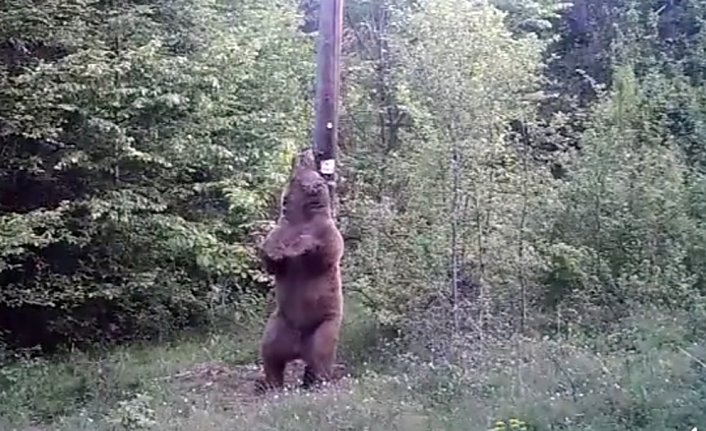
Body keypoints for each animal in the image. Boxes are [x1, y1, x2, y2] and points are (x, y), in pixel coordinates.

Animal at [256, 149, 344, 394]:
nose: (307, 151)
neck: (301, 217)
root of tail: (298, 350)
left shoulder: (325, 231)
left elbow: (325, 252)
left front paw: (300, 246)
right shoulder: (281, 228)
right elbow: (273, 257)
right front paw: (273, 252)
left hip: (324, 326)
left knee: (321, 355)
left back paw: (318, 382)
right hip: (277, 327)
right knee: (270, 356)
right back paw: (270, 384)